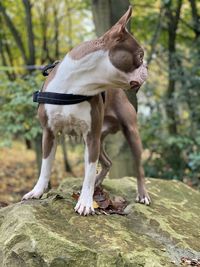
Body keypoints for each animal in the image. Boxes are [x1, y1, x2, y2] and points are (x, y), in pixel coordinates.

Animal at [22, 6, 150, 216]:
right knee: (107, 162)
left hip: (129, 132)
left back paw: (142, 195)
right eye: (140, 55)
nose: (147, 66)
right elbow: (45, 166)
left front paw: (85, 202)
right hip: (99, 137)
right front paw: (37, 191)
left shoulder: (91, 137)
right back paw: (99, 181)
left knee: (138, 168)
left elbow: (88, 172)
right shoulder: (50, 133)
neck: (76, 85)